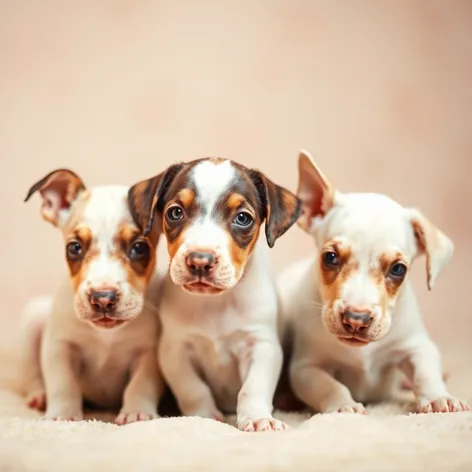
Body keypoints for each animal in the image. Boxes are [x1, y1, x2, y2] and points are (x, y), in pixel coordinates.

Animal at [22, 170, 166, 424]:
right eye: (74, 248)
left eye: (140, 248)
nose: (103, 298)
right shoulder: (59, 346)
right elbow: (63, 382)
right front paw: (62, 414)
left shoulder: (148, 354)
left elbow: (141, 384)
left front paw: (137, 411)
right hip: (32, 320)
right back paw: (39, 396)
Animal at [127, 158, 300, 432]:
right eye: (175, 212)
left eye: (243, 218)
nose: (200, 260)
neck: (216, 303)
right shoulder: (175, 350)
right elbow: (193, 389)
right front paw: (204, 417)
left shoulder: (261, 345)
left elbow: (253, 388)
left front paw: (258, 418)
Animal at [278, 151, 470, 416]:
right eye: (330, 257)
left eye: (398, 269)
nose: (356, 320)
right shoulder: (305, 368)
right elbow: (328, 385)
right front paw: (343, 405)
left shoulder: (417, 345)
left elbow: (426, 371)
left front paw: (438, 397)